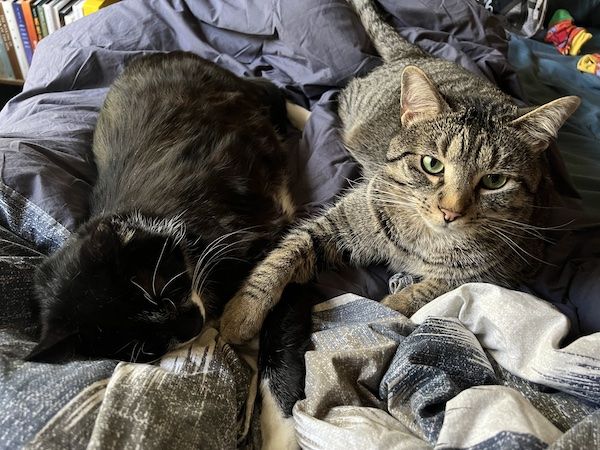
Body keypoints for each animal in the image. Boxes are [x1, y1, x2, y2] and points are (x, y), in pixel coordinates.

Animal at [219, 0, 576, 346]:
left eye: (494, 180)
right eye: (432, 164)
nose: (450, 212)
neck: (427, 240)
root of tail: (416, 55)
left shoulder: (504, 274)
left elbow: (437, 292)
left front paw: (393, 305)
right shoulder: (340, 221)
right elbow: (286, 252)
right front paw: (241, 313)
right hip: (354, 110)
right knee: (329, 108)